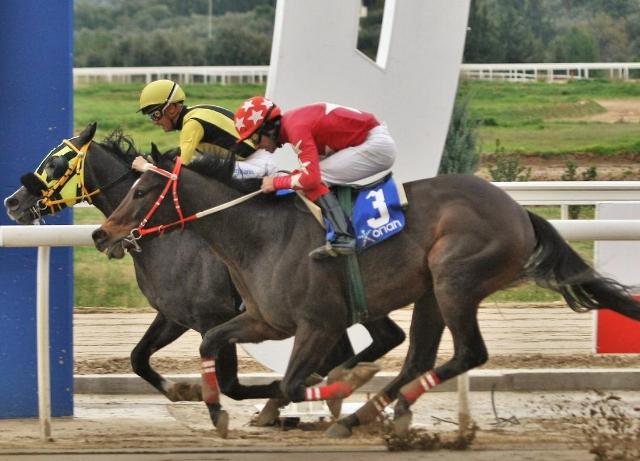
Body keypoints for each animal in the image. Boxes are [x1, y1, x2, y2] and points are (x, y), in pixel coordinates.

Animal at [3, 123, 404, 428]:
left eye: (56, 164)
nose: (13, 202)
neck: (169, 234)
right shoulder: (175, 316)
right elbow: (138, 357)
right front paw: (183, 390)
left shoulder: (213, 317)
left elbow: (231, 383)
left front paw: (260, 402)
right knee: (380, 339)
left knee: (374, 341)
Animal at [90, 150, 640, 438]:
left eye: (143, 191)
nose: (101, 234)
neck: (259, 235)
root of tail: (518, 211)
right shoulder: (262, 320)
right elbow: (213, 347)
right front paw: (215, 410)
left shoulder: (319, 322)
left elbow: (296, 381)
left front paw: (340, 385)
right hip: (431, 293)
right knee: (419, 355)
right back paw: (371, 413)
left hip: (455, 278)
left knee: (465, 352)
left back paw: (365, 410)